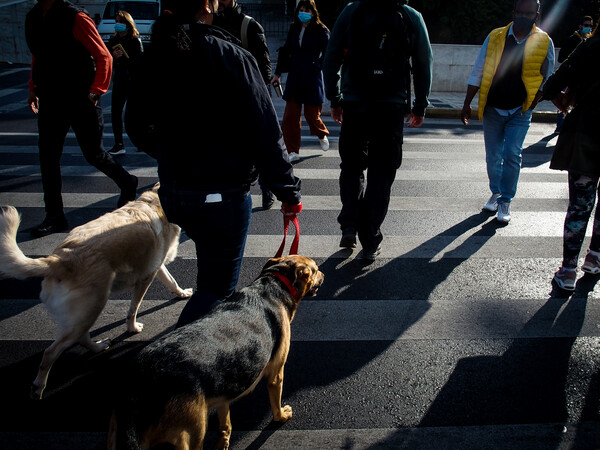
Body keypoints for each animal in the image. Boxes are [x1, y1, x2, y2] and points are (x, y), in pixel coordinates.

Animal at [0, 185, 191, 400]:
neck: (156, 203)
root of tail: (59, 259)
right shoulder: (146, 276)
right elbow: (133, 308)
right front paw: (132, 328)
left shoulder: (155, 267)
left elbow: (171, 280)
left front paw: (182, 293)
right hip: (93, 304)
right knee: (51, 352)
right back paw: (38, 388)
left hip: (86, 311)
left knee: (81, 338)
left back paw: (98, 347)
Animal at [108, 255, 324, 450]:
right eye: (315, 269)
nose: (322, 273)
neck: (274, 285)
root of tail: (142, 382)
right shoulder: (276, 372)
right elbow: (275, 403)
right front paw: (282, 416)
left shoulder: (225, 387)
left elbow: (225, 422)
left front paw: (224, 441)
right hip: (190, 436)